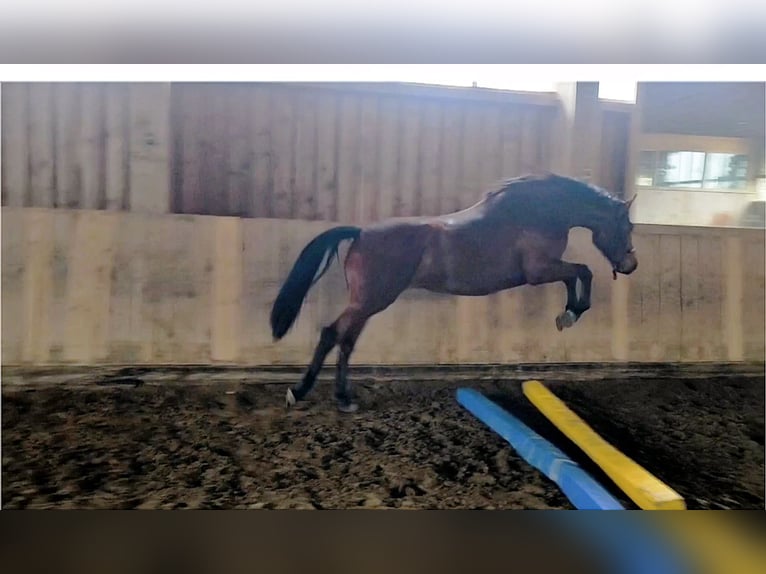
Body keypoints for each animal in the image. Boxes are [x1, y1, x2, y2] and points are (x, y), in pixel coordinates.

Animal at [270, 173, 638, 413]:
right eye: (628, 226)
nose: (631, 264)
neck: (540, 212)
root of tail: (360, 232)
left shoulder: (546, 270)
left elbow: (576, 276)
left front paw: (568, 314)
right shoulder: (539, 271)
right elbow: (583, 272)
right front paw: (571, 313)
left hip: (366, 304)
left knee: (345, 341)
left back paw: (342, 398)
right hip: (369, 301)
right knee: (332, 334)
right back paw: (301, 393)